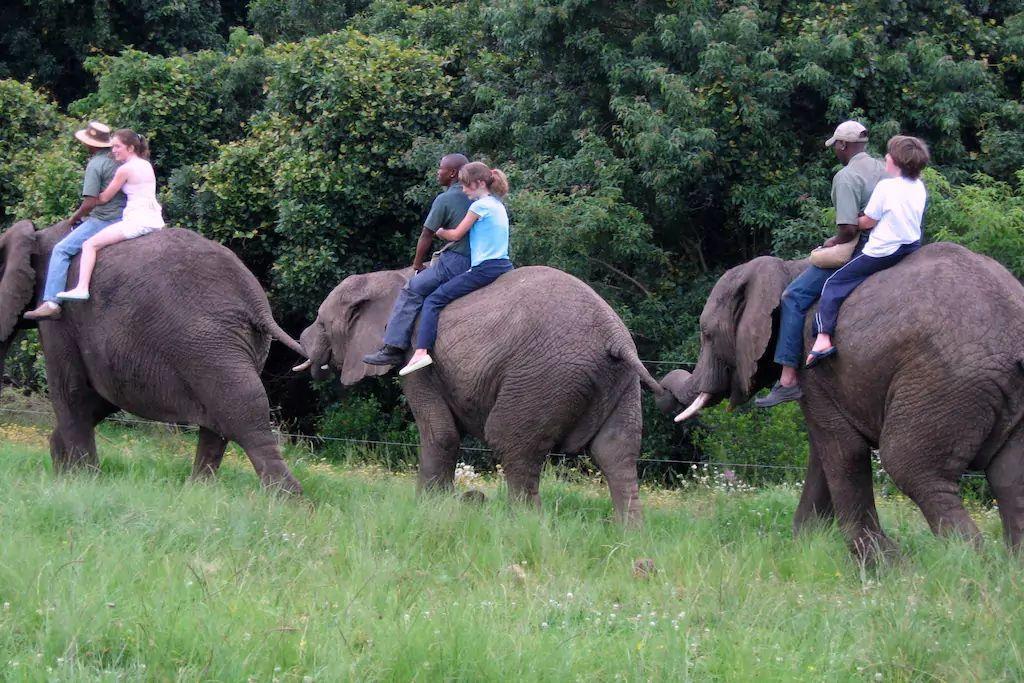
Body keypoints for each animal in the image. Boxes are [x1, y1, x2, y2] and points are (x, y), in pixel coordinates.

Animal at [0, 219, 305, 491]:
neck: (39, 234)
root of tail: (256, 302)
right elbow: (102, 396)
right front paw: (65, 472)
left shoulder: (60, 314)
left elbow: (72, 392)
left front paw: (82, 482)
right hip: (233, 344)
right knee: (222, 418)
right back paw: (198, 493)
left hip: (209, 344)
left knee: (242, 412)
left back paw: (287, 500)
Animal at [296, 264, 663, 520]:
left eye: (322, 323)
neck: (391, 277)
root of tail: (614, 337)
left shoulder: (416, 355)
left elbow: (440, 434)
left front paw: (428, 510)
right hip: (620, 382)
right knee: (616, 452)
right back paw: (629, 535)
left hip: (542, 377)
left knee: (512, 445)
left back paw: (522, 525)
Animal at [655, 244, 1024, 561]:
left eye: (706, 335)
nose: (661, 393)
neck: (786, 269)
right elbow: (823, 451)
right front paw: (804, 547)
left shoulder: (810, 361)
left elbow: (842, 450)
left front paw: (878, 562)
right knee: (1009, 478)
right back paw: (1006, 570)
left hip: (943, 382)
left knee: (914, 469)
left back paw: (965, 567)